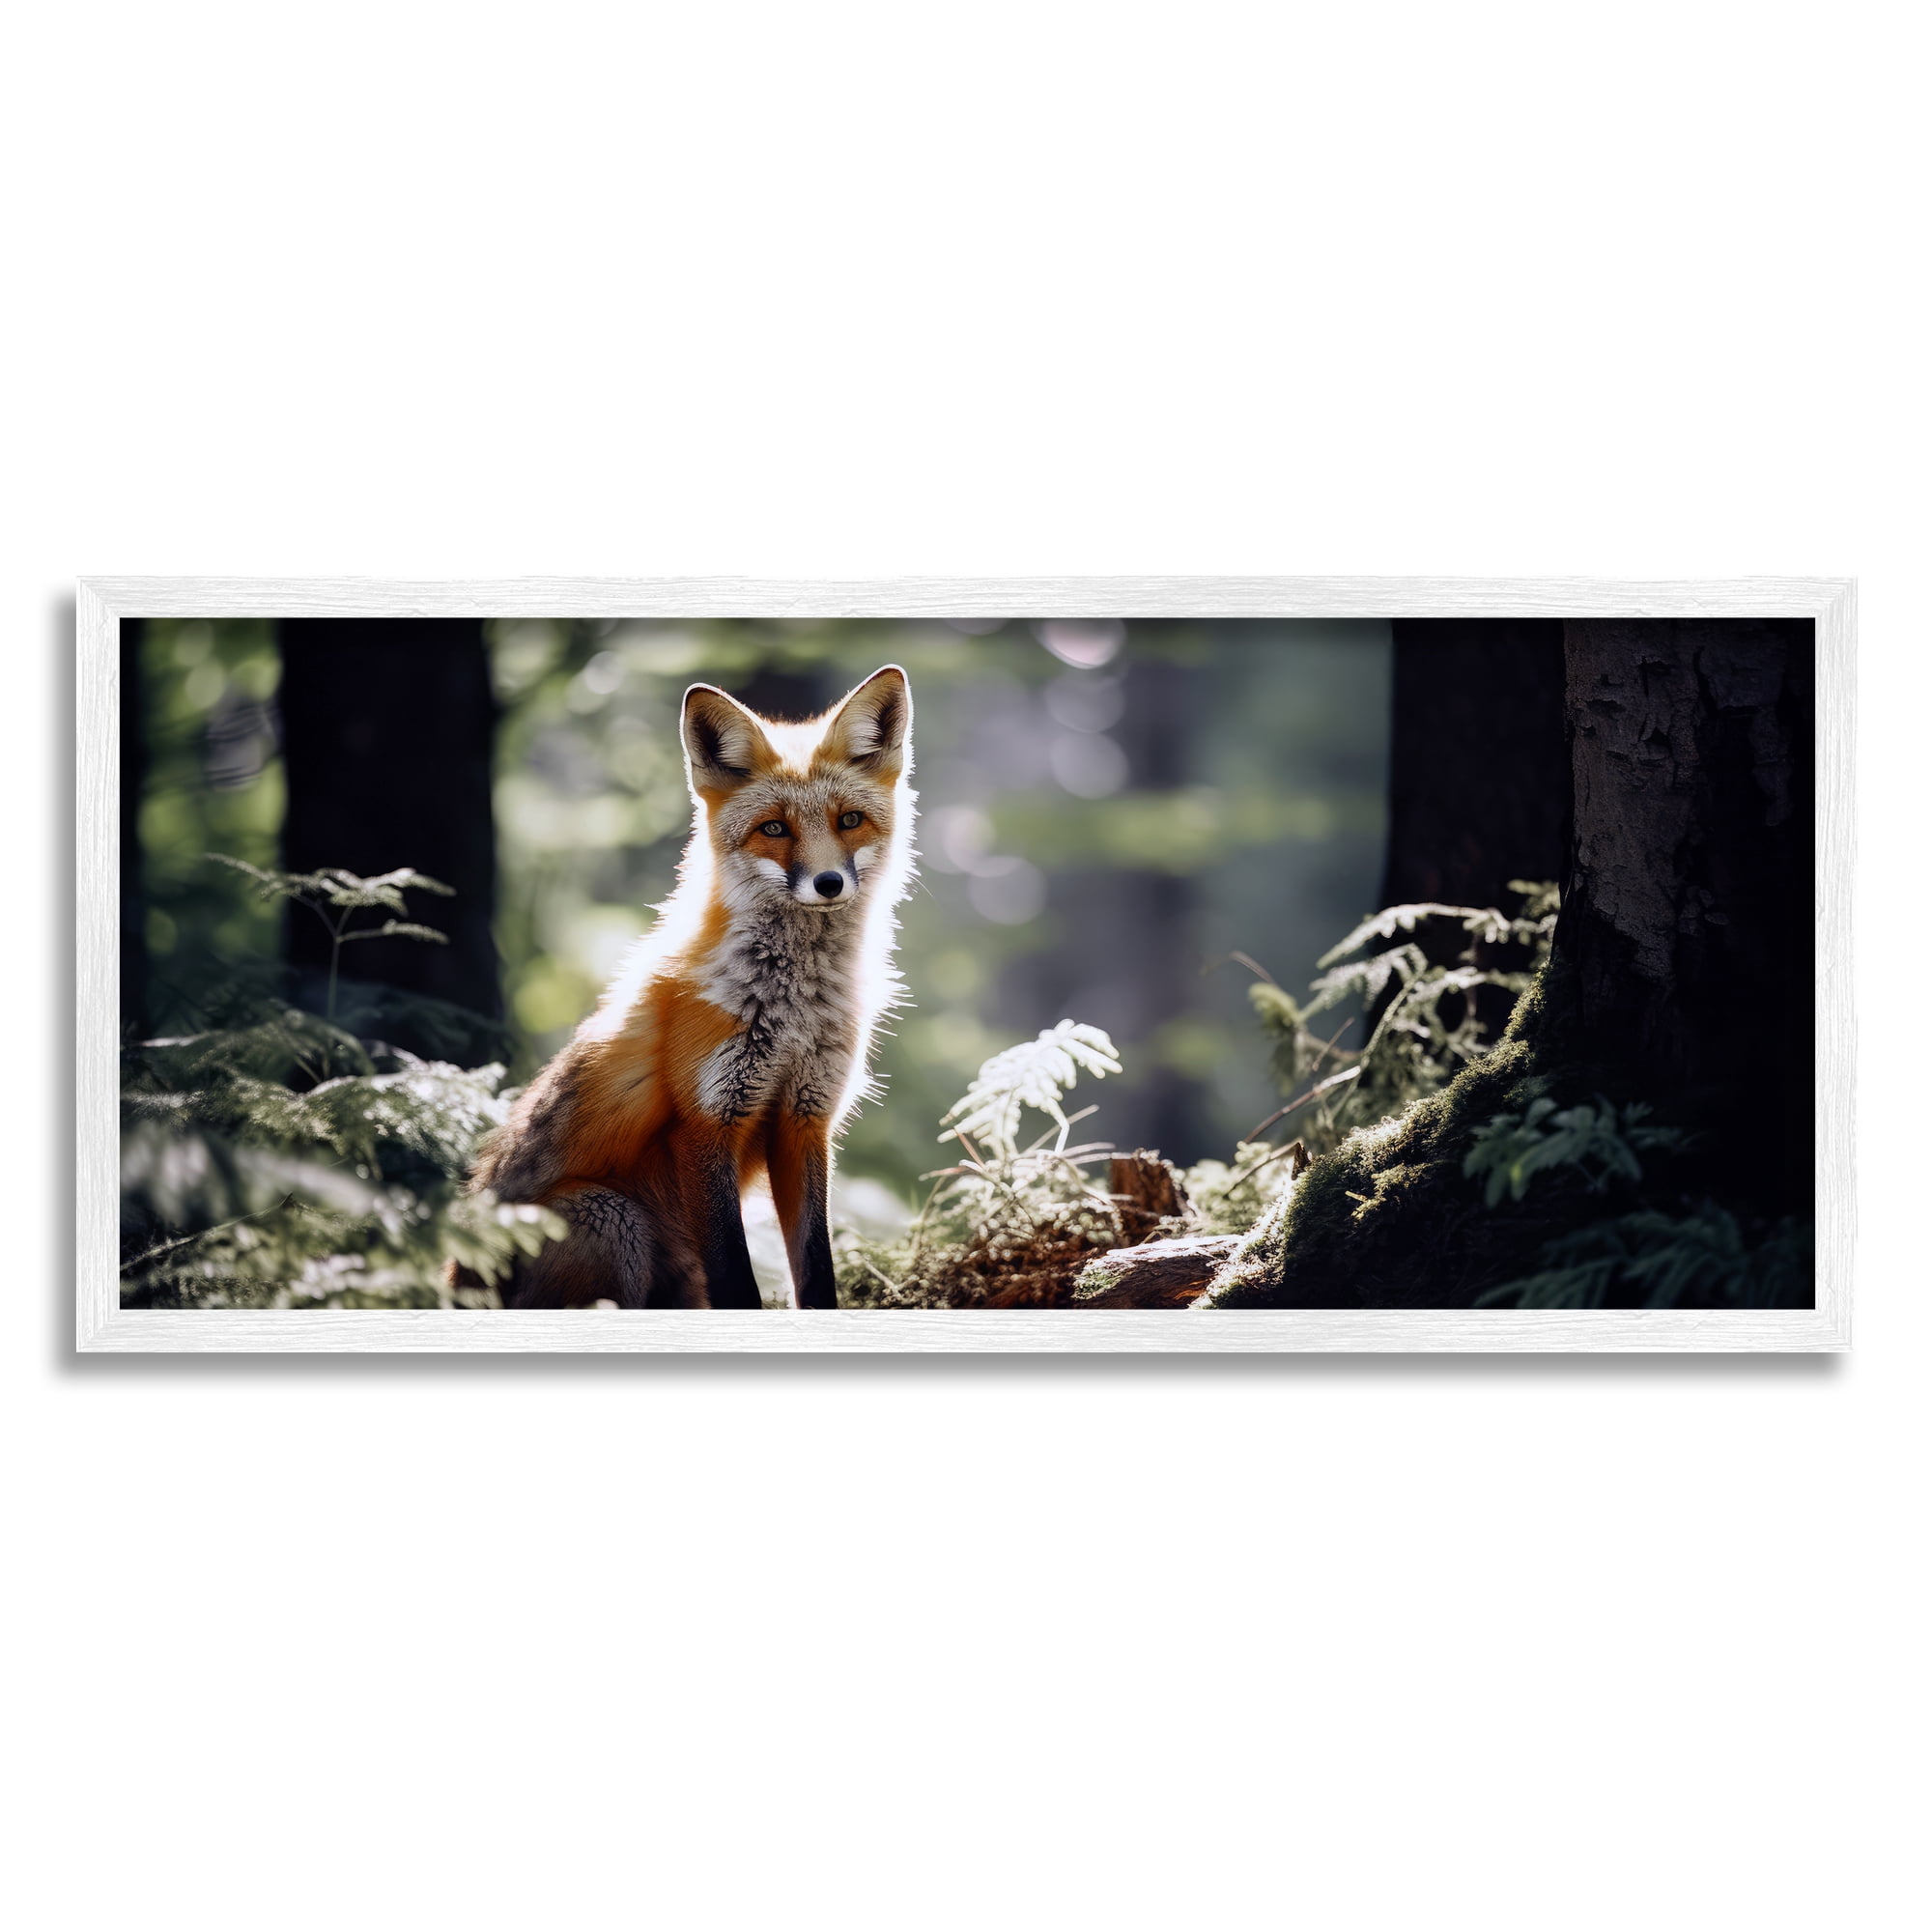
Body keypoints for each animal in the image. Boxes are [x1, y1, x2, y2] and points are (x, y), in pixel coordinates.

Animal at [459, 664, 915, 1310]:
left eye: (849, 820)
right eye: (774, 828)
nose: (829, 883)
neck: (792, 1009)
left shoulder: (805, 1121)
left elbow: (816, 1271)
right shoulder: (706, 1122)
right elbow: (738, 1281)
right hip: (608, 1216)